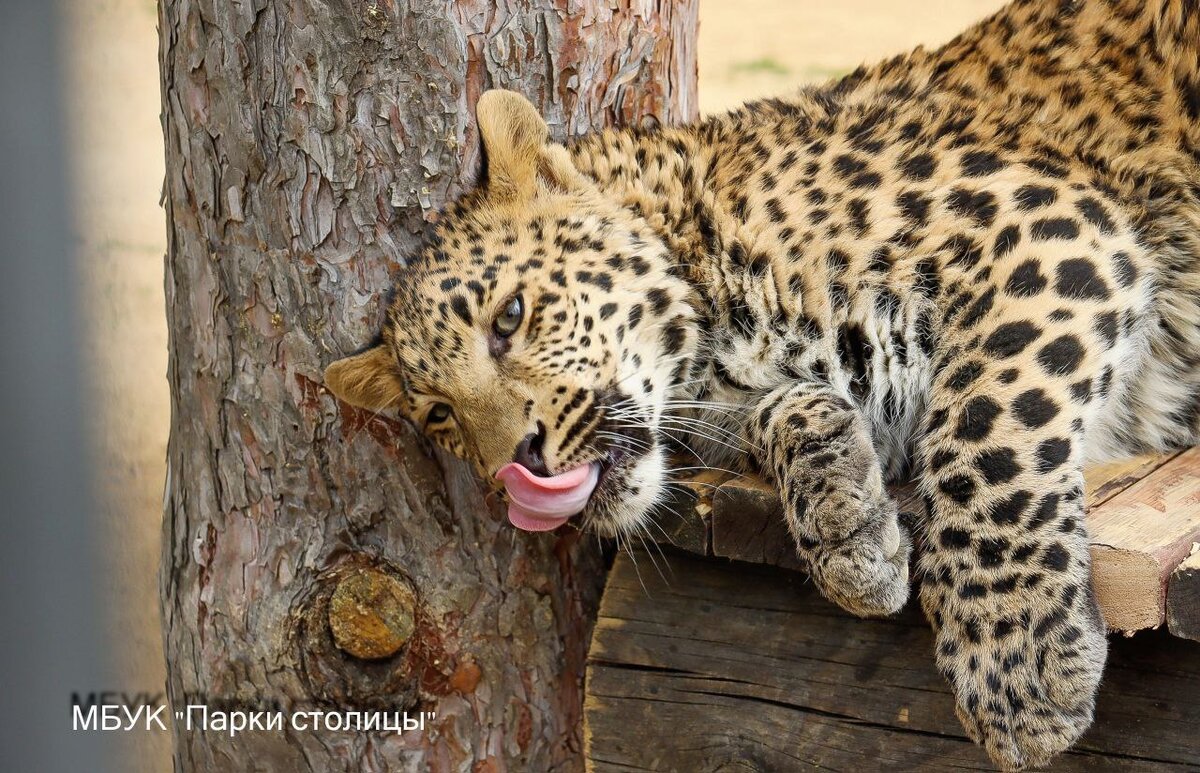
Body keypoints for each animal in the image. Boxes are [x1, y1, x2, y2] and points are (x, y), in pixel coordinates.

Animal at [324, 0, 1200, 768]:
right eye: (441, 416)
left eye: (509, 316)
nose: (519, 463)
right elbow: (792, 417)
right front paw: (847, 528)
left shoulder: (1043, 226)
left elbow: (985, 432)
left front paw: (1014, 659)